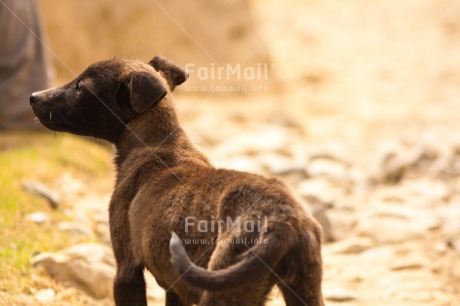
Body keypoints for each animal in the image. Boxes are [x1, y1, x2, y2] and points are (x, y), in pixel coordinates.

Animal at [29, 56, 324, 304]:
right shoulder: (175, 287)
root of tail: (283, 221)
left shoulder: (126, 270)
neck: (156, 141)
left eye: (81, 87)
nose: (33, 96)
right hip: (304, 290)